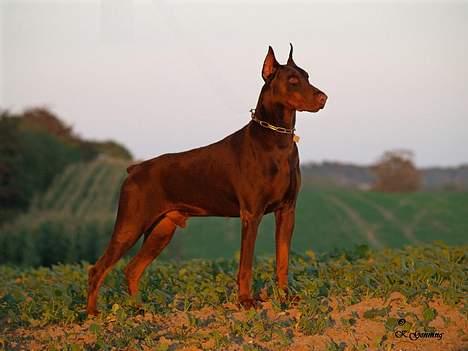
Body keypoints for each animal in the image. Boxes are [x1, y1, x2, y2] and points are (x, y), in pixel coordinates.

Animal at [86, 44, 328, 316]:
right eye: (293, 80)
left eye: (307, 76)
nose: (323, 98)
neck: (277, 140)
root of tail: (134, 169)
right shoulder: (251, 214)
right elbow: (245, 265)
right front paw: (245, 301)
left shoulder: (287, 211)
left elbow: (283, 260)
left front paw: (285, 297)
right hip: (130, 224)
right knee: (98, 269)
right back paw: (93, 314)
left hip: (161, 229)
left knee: (132, 269)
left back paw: (139, 310)